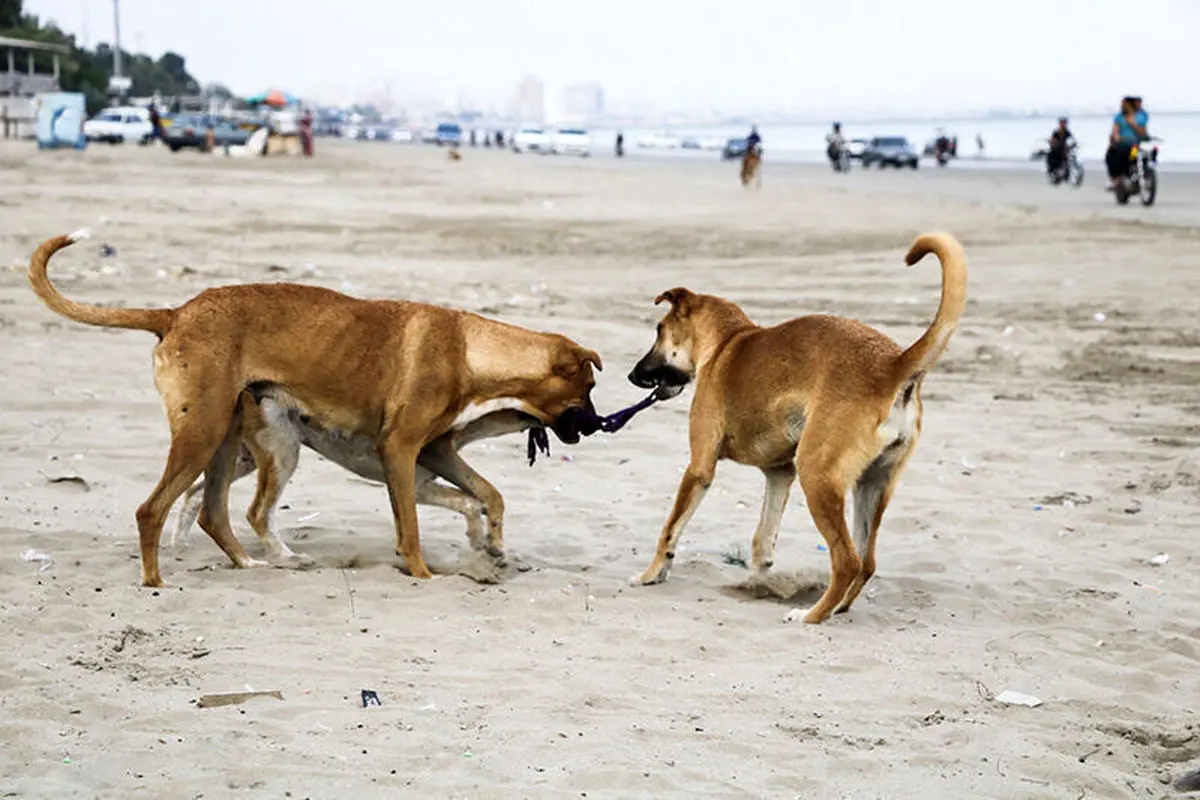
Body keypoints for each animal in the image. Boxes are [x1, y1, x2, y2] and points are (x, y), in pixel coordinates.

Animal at [30, 231, 600, 587]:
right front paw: (423, 572)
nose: (597, 427)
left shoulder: (434, 453)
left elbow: (486, 495)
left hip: (230, 442)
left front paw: (491, 544)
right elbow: (414, 526)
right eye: (589, 387)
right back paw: (156, 579)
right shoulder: (401, 454)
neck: (469, 347)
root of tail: (176, 313)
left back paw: (252, 563)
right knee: (162, 508)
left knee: (212, 510)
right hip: (214, 435)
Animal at [624, 231, 969, 623]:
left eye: (659, 330)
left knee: (847, 561)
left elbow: (670, 529)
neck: (728, 340)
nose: (632, 375)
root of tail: (893, 366)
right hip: (871, 485)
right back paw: (837, 608)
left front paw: (651, 574)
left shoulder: (700, 468)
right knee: (866, 561)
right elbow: (762, 542)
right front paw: (757, 584)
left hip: (817, 476)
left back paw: (810, 615)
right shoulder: (779, 474)